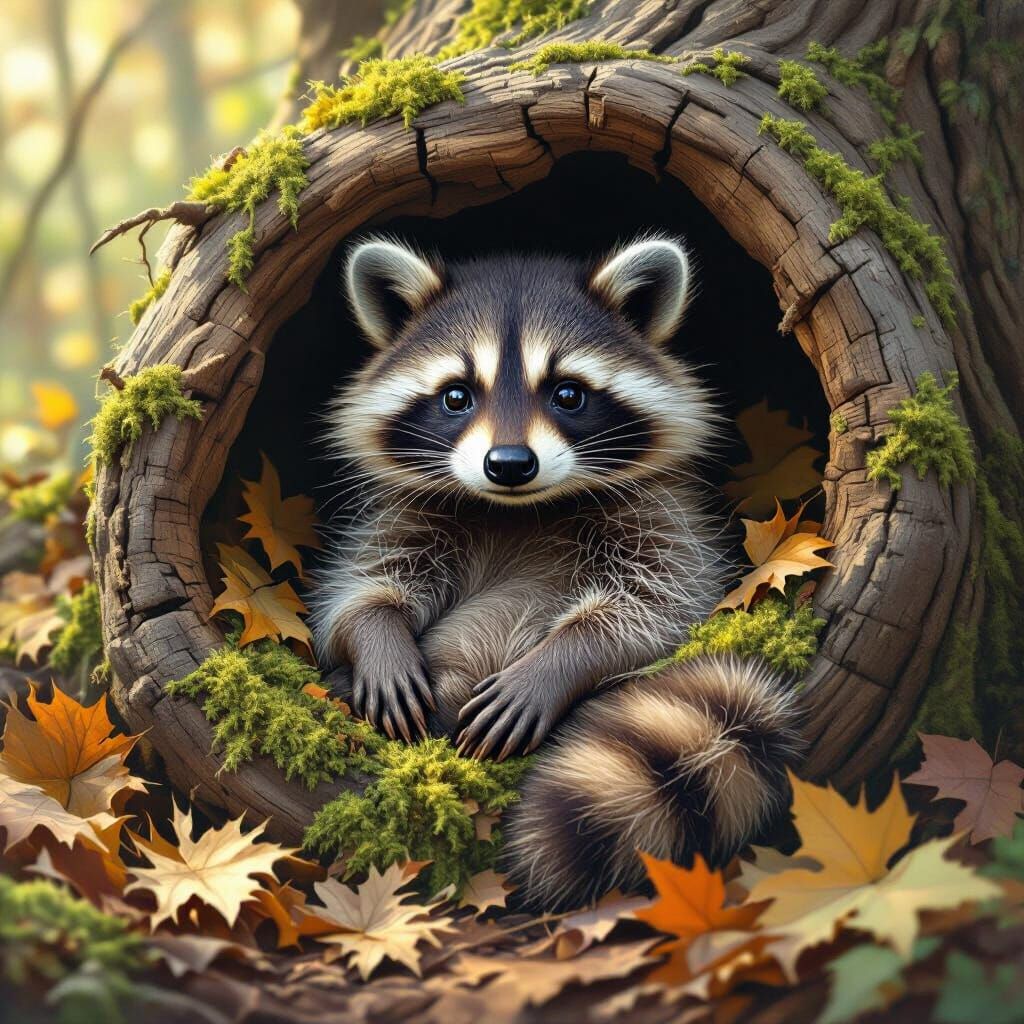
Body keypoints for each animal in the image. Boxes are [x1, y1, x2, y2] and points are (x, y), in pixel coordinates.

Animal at [310, 235, 804, 909]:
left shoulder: (666, 518)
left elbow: (659, 605)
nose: (509, 463)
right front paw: (376, 637)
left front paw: (557, 661)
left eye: (568, 394)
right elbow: (359, 585)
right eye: (457, 396)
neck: (518, 508)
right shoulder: (406, 513)